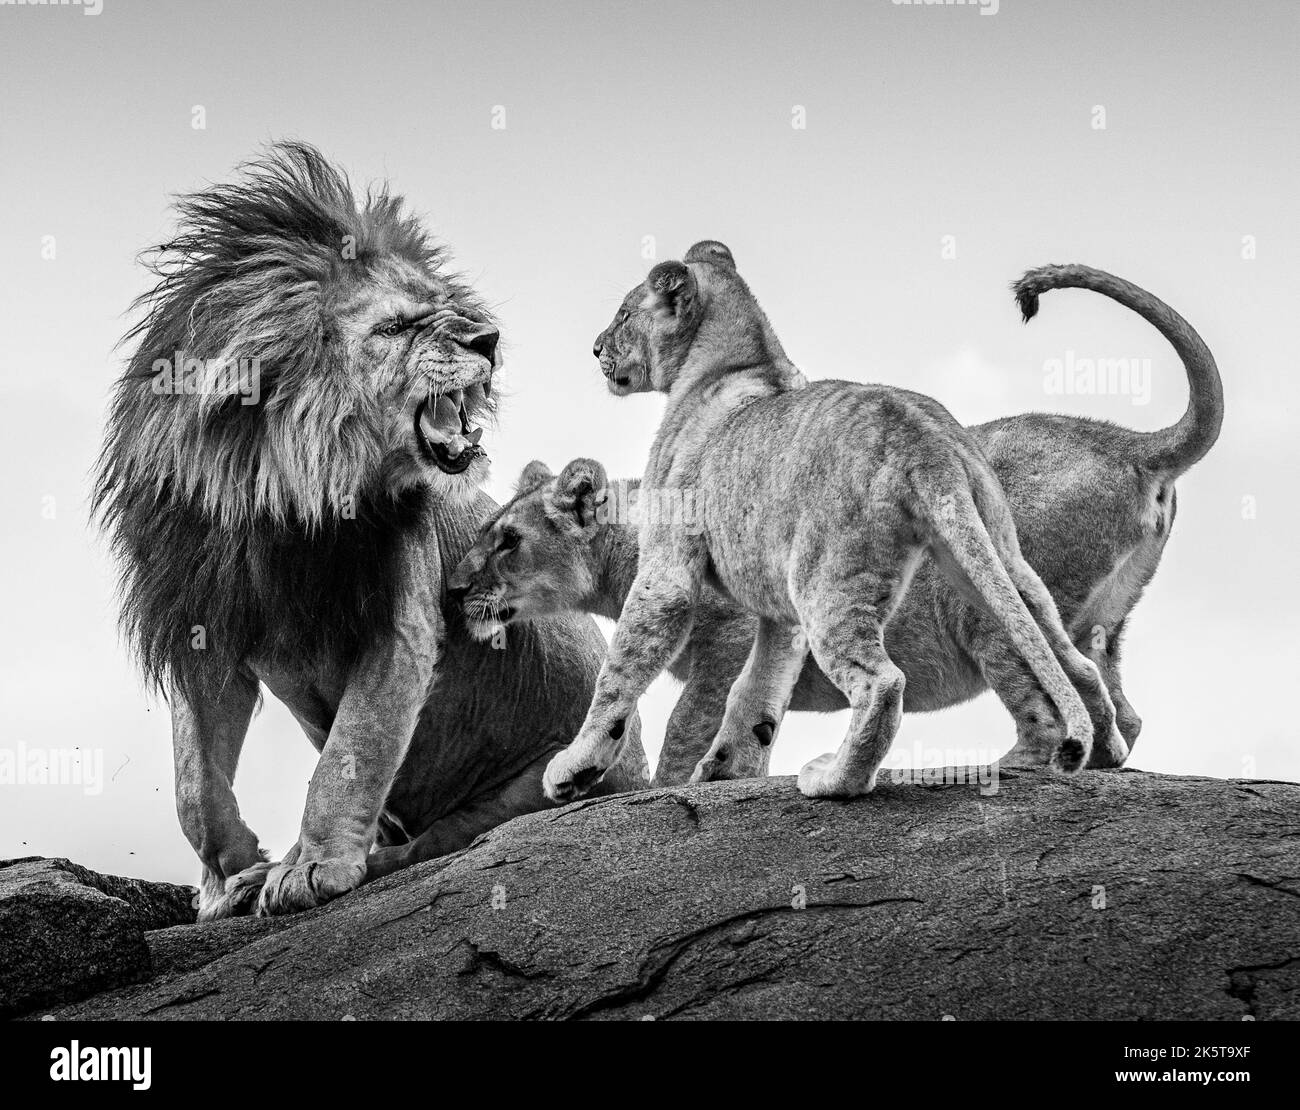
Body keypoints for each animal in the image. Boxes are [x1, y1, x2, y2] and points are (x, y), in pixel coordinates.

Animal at [89, 141, 647, 920]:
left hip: (543, 781)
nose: (489, 338)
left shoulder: (398, 623)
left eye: (447, 311)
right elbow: (194, 784)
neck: (280, 491)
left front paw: (311, 867)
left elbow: (349, 756)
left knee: (445, 841)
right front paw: (232, 878)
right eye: (396, 326)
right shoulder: (204, 620)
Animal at [447, 257, 1216, 785]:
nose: (456, 591)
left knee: (974, 696)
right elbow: (753, 706)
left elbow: (660, 706)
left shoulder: (700, 610)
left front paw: (600, 773)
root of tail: (1133, 445)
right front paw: (729, 772)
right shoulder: (772, 615)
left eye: (508, 541)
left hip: (952, 602)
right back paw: (1091, 753)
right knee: (1094, 685)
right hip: (1032, 586)